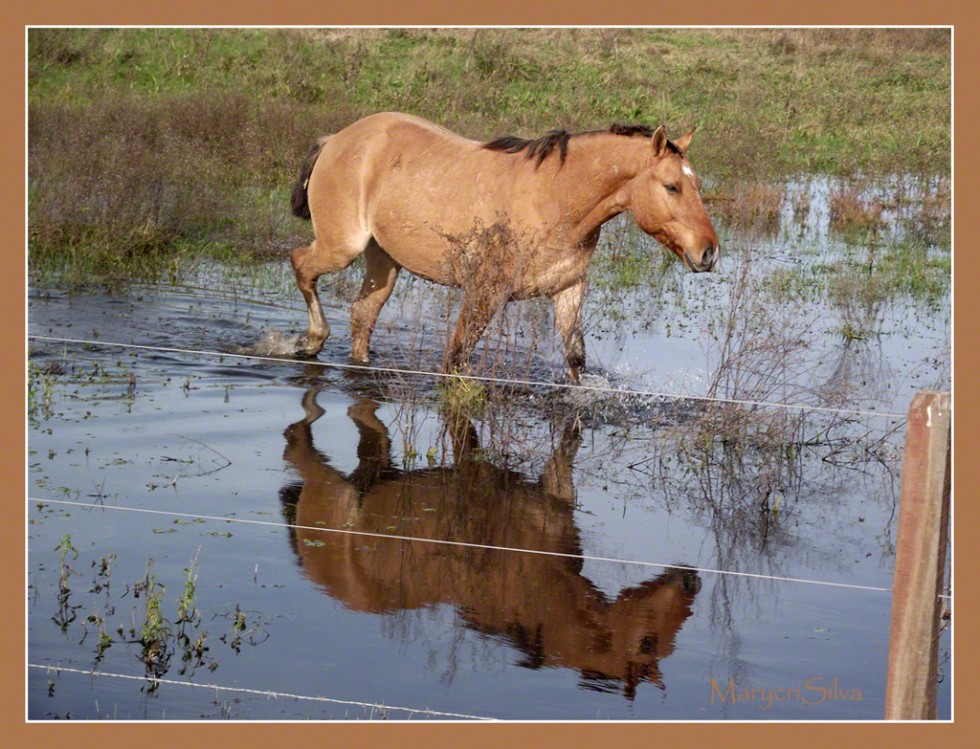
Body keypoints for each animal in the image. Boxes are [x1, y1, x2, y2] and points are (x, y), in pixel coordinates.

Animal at [280, 386, 700, 700]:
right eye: (647, 642)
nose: (691, 579)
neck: (546, 595)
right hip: (326, 483)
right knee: (296, 445)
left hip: (375, 465)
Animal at [288, 112, 716, 382]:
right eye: (671, 186)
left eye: (697, 185)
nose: (709, 252)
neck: (554, 198)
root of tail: (335, 139)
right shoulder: (484, 293)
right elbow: (456, 359)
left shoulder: (568, 288)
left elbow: (576, 359)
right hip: (342, 246)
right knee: (301, 264)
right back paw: (310, 340)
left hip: (385, 260)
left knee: (362, 315)